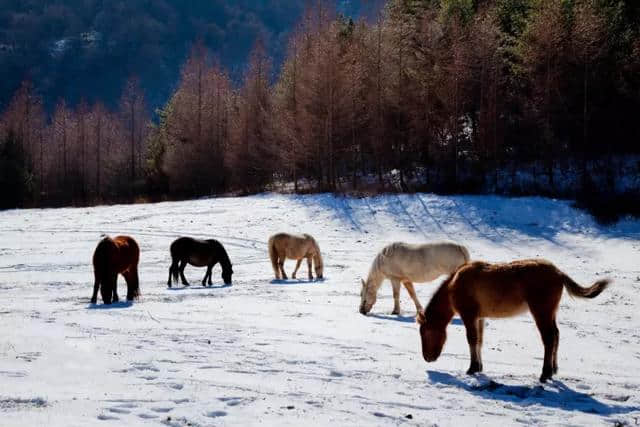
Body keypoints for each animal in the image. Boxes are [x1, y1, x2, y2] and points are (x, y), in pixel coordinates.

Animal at [418, 260, 612, 382]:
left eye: (424, 332)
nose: (427, 358)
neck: (454, 285)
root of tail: (559, 273)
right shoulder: (479, 317)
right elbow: (479, 341)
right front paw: (479, 367)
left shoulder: (469, 315)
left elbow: (472, 340)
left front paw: (472, 368)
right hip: (550, 313)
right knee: (556, 335)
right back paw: (553, 370)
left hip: (541, 312)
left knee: (549, 338)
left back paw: (545, 374)